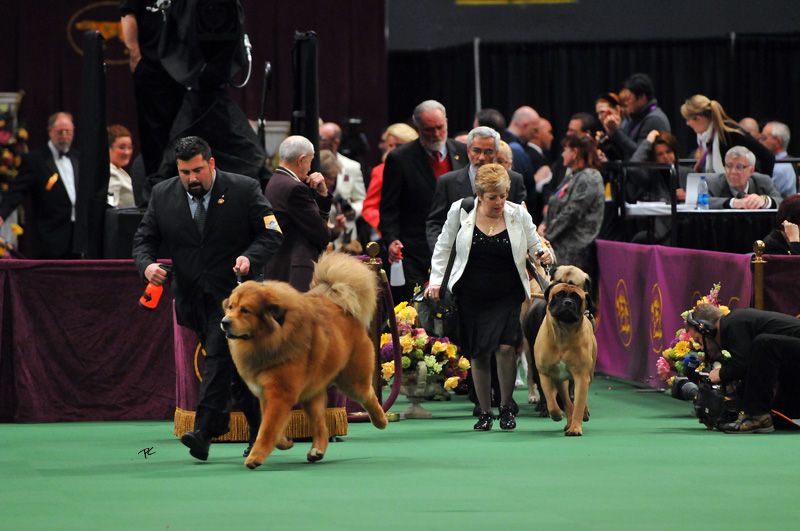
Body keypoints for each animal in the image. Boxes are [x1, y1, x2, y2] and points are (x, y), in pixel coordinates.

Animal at [536, 266, 596, 436]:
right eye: (559, 294)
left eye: (576, 297)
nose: (567, 302)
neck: (564, 331)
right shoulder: (546, 373)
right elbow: (551, 400)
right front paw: (556, 415)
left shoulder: (581, 376)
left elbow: (579, 403)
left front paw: (575, 427)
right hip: (560, 379)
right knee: (566, 400)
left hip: (589, 373)